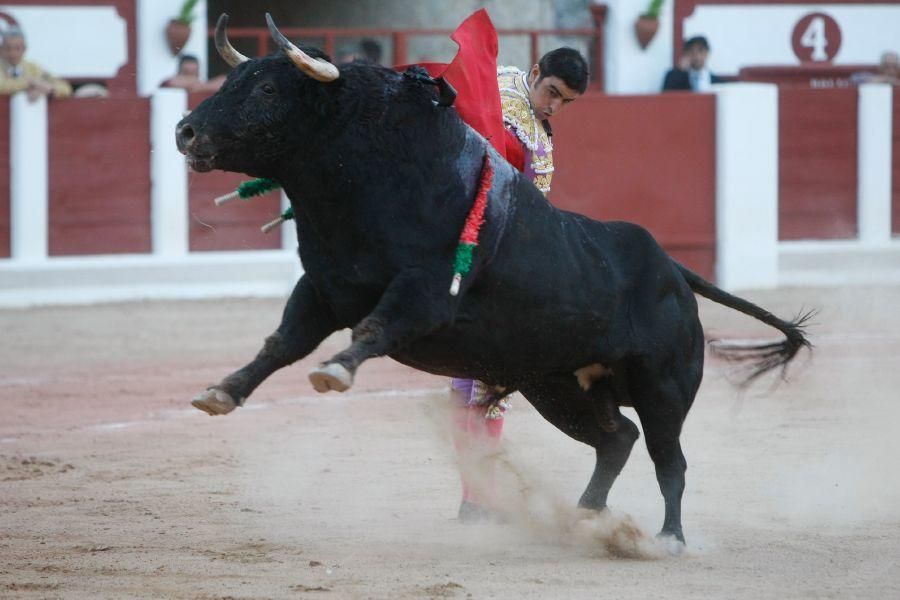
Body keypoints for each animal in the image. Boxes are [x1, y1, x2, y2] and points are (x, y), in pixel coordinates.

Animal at [179, 15, 812, 548]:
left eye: (267, 89)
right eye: (234, 79)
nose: (185, 131)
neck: (377, 175)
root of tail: (672, 270)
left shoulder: (425, 293)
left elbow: (373, 328)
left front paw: (334, 370)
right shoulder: (324, 289)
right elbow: (281, 342)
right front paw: (222, 392)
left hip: (663, 387)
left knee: (668, 459)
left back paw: (668, 539)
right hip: (557, 384)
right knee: (616, 439)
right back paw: (584, 518)